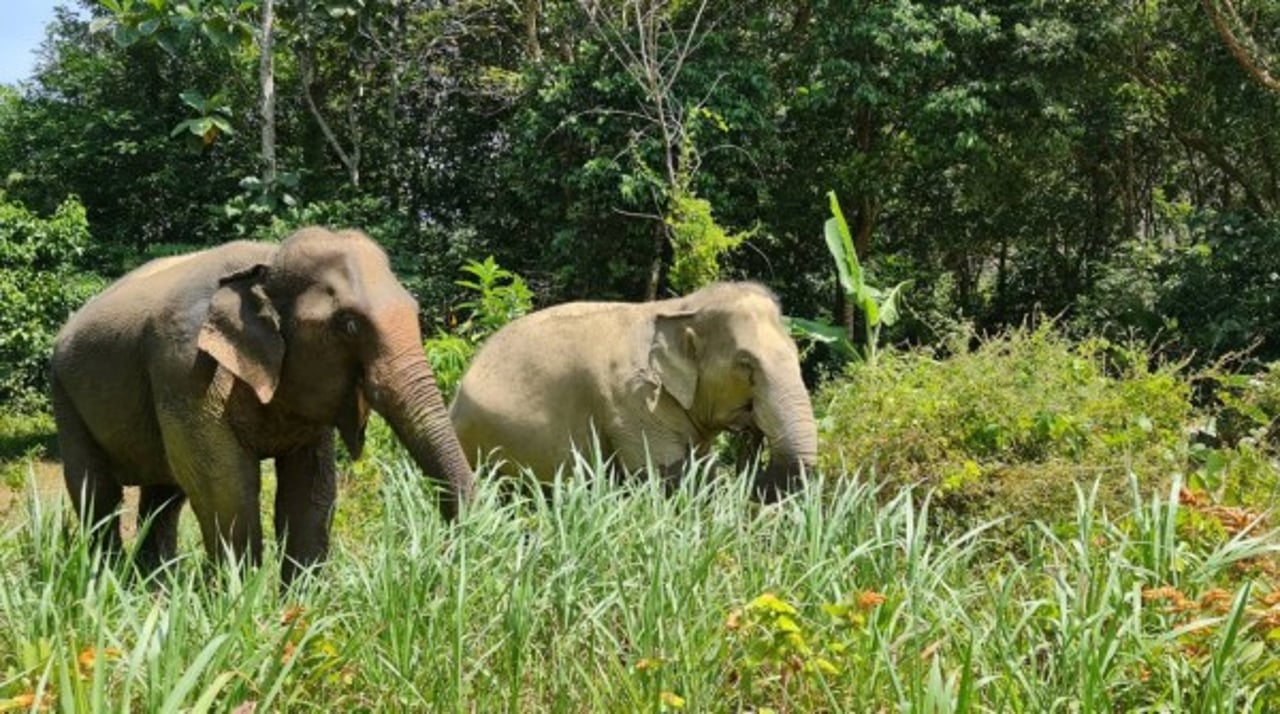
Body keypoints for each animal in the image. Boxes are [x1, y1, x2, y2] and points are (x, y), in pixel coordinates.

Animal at [52, 226, 478, 586]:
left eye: (415, 310)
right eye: (348, 324)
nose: (446, 561)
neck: (266, 263)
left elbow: (308, 491)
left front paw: (299, 609)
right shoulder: (185, 366)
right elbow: (225, 485)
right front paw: (240, 605)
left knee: (164, 497)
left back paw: (154, 591)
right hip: (65, 395)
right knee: (97, 492)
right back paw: (109, 587)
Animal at [445, 282, 814, 501]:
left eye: (796, 352)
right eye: (745, 364)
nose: (754, 428)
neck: (681, 307)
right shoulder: (634, 403)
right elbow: (670, 479)